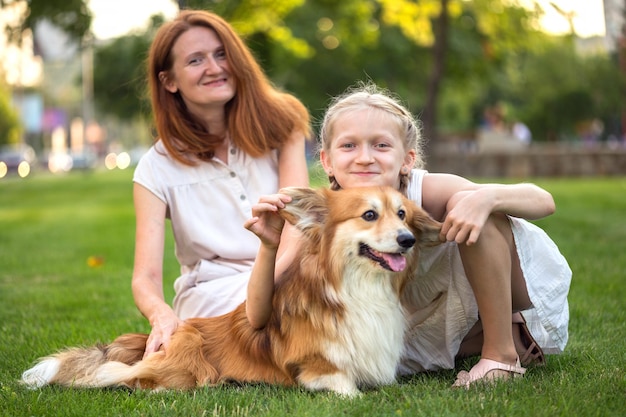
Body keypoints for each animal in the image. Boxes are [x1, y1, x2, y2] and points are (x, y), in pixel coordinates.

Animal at [19, 186, 438, 396]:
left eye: (402, 214)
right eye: (369, 215)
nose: (408, 239)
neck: (358, 287)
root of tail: (174, 330)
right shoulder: (313, 367)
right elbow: (347, 388)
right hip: (187, 364)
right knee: (122, 374)